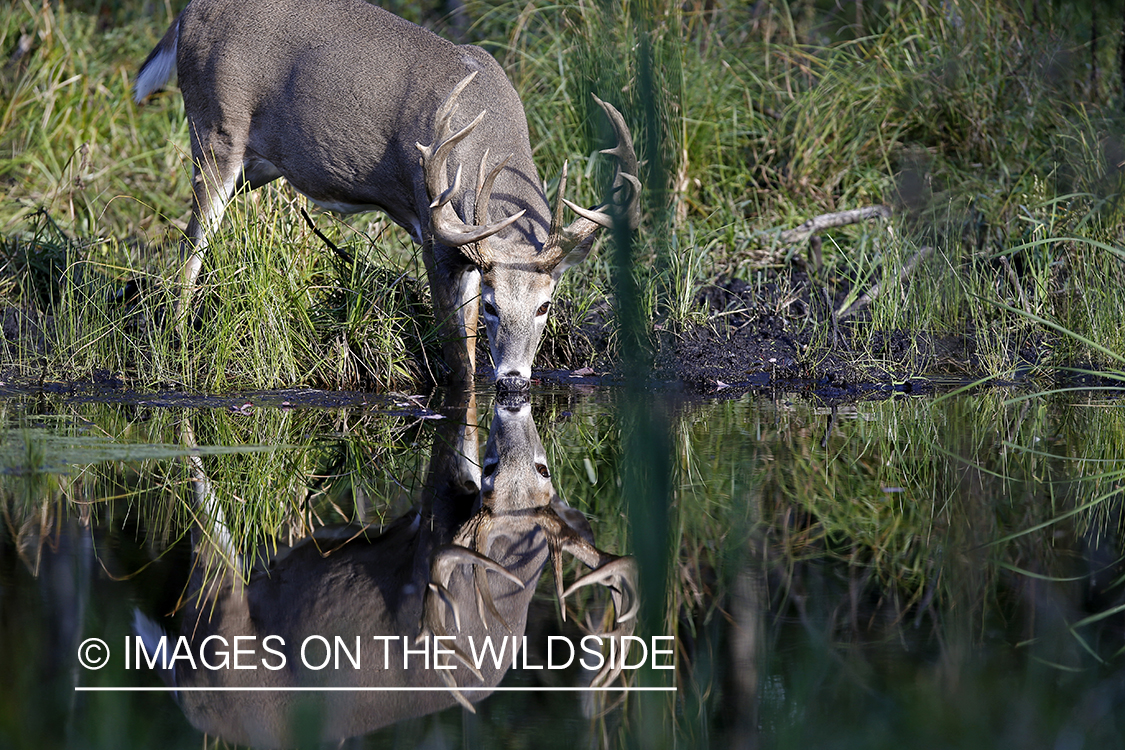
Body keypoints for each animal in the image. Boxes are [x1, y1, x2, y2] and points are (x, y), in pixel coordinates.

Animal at [132, 0, 643, 395]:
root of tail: (188, 13)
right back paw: (175, 345)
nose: (515, 380)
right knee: (191, 245)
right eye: (495, 305)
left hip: (255, 166)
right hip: (215, 129)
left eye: (545, 305)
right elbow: (459, 357)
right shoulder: (434, 227)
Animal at [132, 393, 639, 750]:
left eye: (543, 469)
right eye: (494, 472)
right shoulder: (436, 525)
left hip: (217, 627)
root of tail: (189, 700)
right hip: (221, 622)